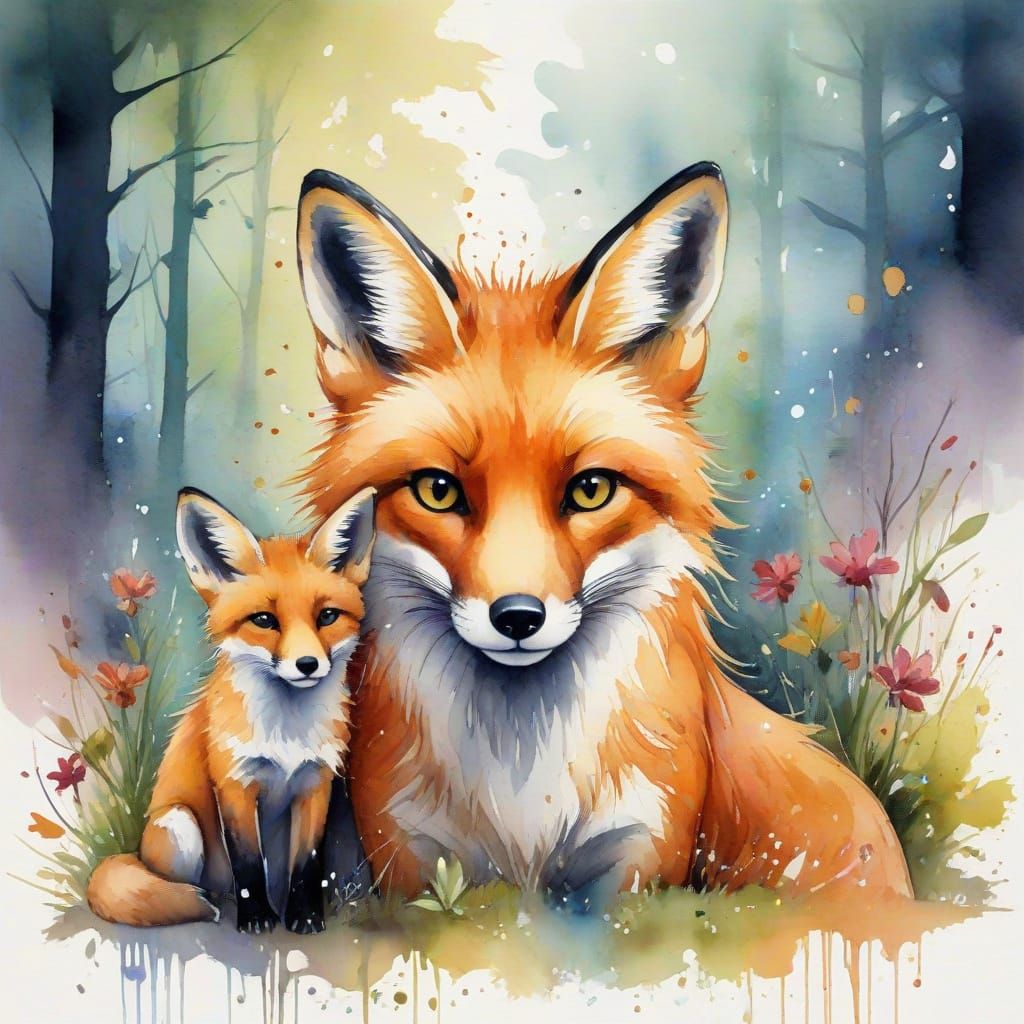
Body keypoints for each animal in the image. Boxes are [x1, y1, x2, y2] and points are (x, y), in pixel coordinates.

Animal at [86, 485, 376, 932]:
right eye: (264, 620)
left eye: (327, 616)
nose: (307, 664)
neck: (286, 732)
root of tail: (135, 852)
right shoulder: (235, 783)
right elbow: (247, 863)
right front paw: (256, 918)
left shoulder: (316, 783)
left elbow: (307, 864)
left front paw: (305, 917)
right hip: (180, 826)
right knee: (180, 885)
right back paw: (206, 901)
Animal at [293, 162, 912, 906]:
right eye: (438, 491)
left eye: (590, 490)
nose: (519, 618)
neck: (520, 784)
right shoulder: (412, 860)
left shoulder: (640, 856)